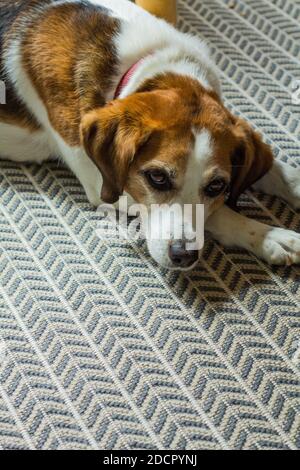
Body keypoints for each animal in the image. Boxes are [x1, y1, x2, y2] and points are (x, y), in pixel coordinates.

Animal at [0, 0, 300, 270]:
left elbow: (275, 172)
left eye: (216, 185)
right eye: (157, 177)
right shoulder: (103, 184)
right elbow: (219, 214)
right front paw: (268, 236)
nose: (184, 255)